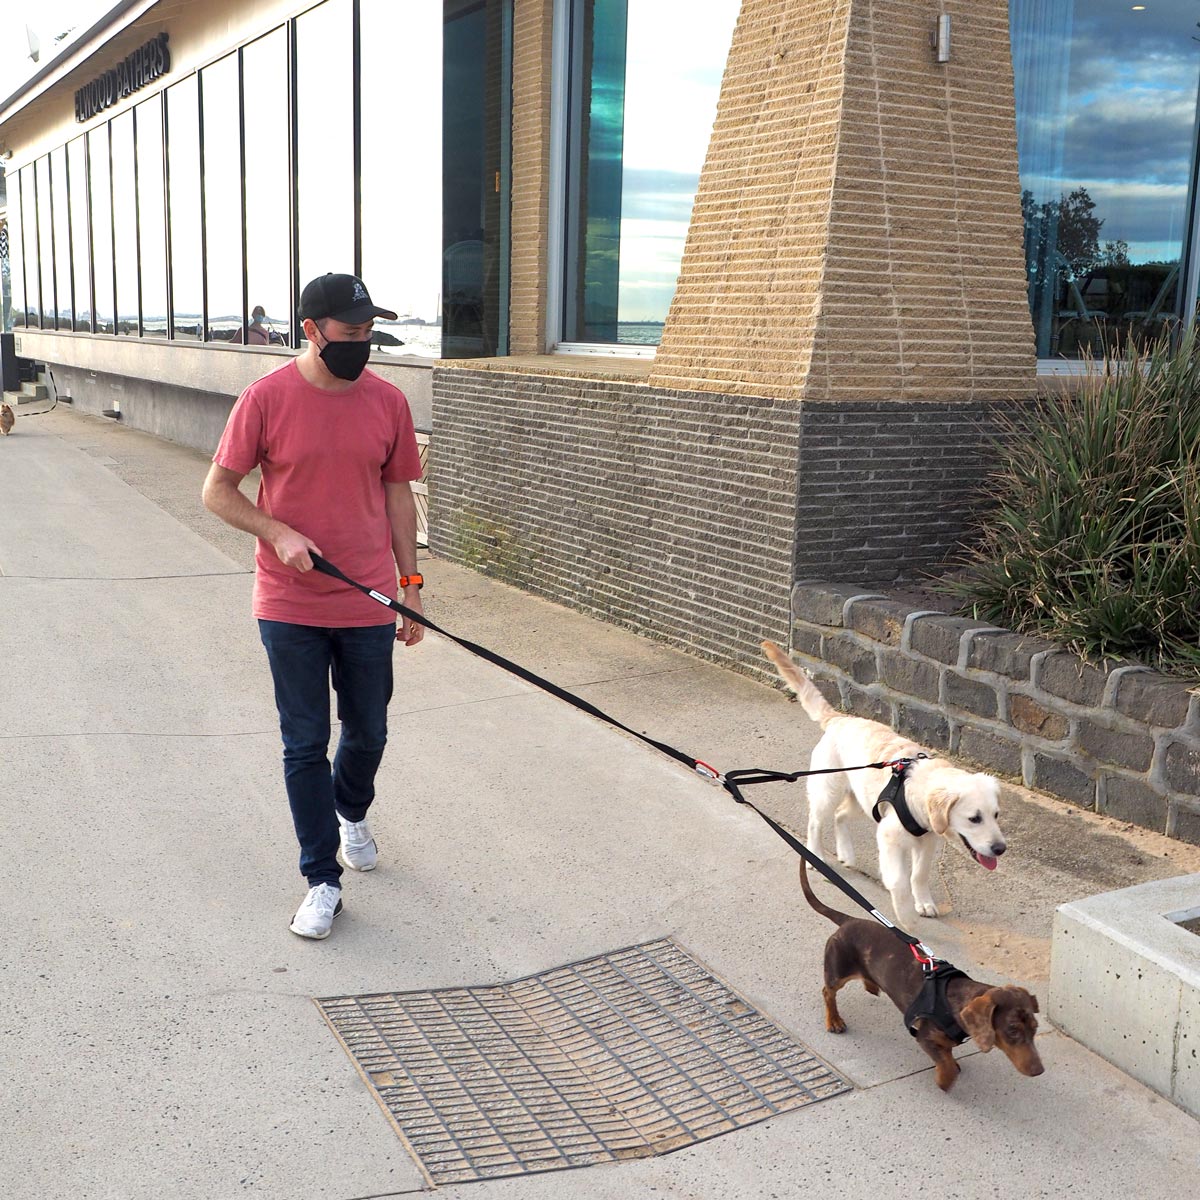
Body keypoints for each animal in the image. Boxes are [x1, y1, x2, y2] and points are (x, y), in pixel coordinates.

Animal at [763, 643, 1008, 921]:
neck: (918, 794)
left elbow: (919, 874)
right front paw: (905, 915)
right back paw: (817, 856)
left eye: (996, 815)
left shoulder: (928, 841)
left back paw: (846, 853)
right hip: (829, 790)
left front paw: (923, 902)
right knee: (816, 821)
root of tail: (841, 719)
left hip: (865, 800)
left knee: (840, 816)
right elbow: (899, 880)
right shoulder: (889, 835)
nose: (1000, 849)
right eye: (974, 818)